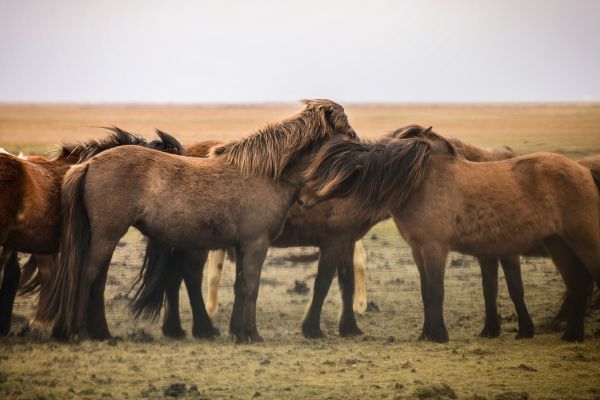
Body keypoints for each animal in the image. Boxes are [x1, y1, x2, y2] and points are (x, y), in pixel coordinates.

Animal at [39, 98, 358, 342]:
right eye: (347, 131)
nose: (360, 148)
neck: (264, 174)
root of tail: (89, 164)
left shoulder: (242, 246)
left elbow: (241, 286)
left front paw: (238, 333)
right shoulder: (256, 244)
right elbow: (251, 287)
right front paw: (252, 335)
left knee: (98, 279)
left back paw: (97, 333)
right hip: (107, 235)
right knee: (87, 275)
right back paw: (81, 332)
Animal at [298, 126, 600, 342]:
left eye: (330, 172)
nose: (300, 199)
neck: (420, 184)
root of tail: (583, 171)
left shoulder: (436, 248)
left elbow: (437, 291)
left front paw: (439, 335)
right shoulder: (418, 249)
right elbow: (426, 292)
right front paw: (426, 333)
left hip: (584, 242)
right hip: (559, 245)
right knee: (578, 284)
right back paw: (571, 335)